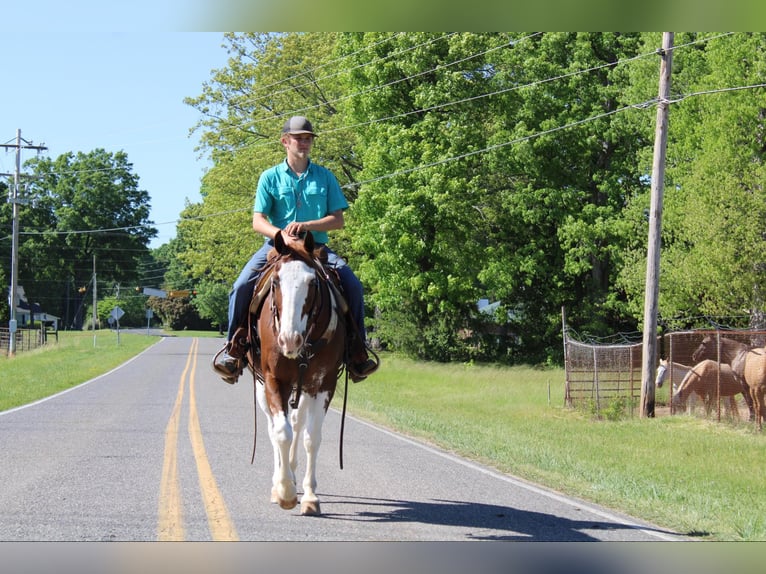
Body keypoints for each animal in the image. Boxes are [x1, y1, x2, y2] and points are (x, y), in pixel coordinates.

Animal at [246, 232, 348, 516]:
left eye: (312, 282)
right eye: (276, 281)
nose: (289, 340)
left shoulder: (322, 384)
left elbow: (311, 437)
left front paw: (310, 496)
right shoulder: (273, 380)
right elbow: (281, 432)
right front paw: (286, 493)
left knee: (298, 422)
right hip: (262, 388)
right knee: (275, 429)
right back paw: (279, 482)